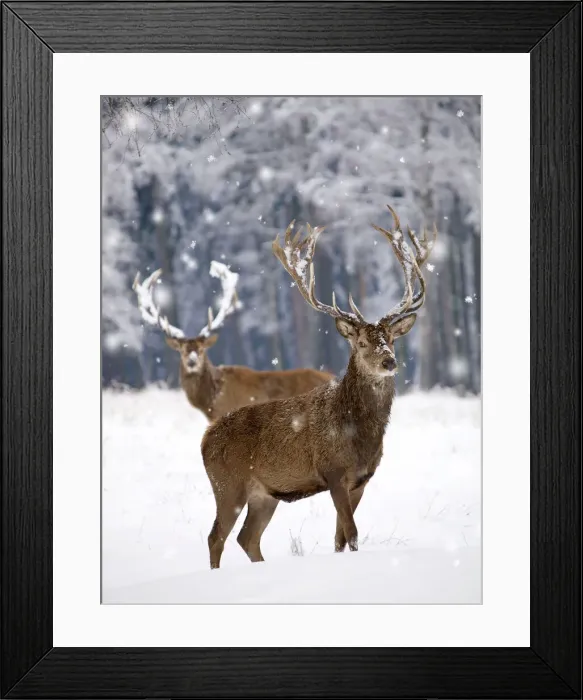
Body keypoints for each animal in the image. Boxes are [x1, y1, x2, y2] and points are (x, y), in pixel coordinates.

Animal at [201, 205, 436, 569]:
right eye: (362, 342)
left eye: (391, 339)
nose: (389, 362)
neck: (358, 433)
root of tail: (204, 439)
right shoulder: (334, 472)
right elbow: (351, 533)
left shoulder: (361, 480)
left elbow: (340, 537)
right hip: (228, 484)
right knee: (216, 537)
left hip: (264, 495)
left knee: (247, 537)